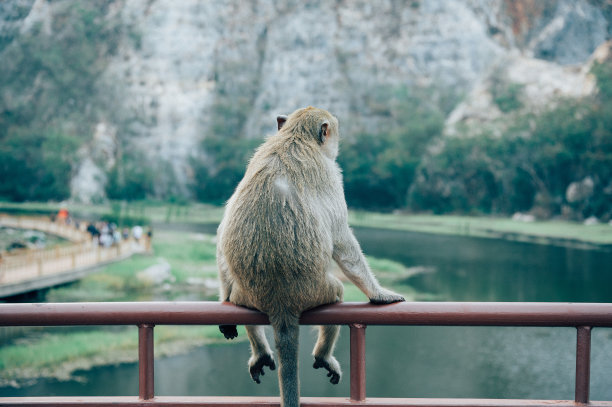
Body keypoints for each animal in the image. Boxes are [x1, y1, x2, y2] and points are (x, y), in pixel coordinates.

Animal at [218, 106, 404, 407]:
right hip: (317, 290)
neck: (293, 137)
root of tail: (280, 302)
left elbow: (221, 231)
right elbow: (341, 238)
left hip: (248, 294)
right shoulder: (331, 174)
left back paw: (256, 345)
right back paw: (322, 356)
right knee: (338, 293)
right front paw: (378, 293)